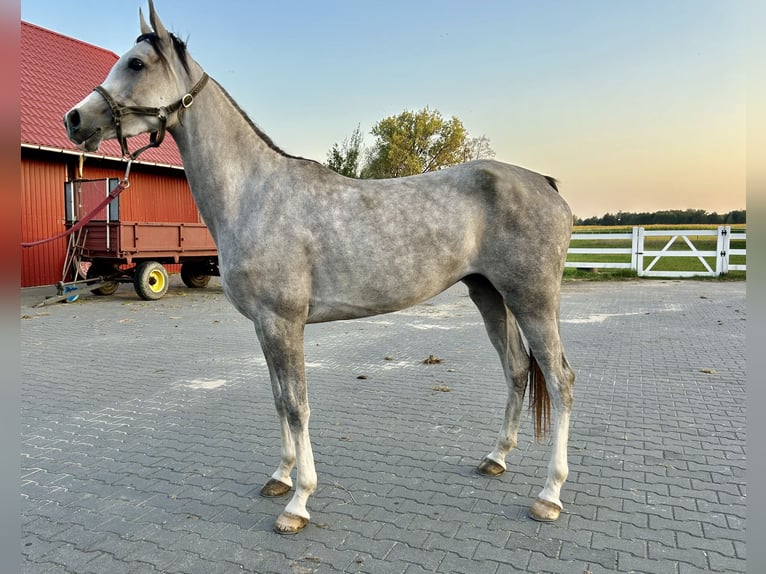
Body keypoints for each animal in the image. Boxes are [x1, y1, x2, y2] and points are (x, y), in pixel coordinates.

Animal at [66, 0, 576, 536]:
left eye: (136, 64)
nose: (74, 119)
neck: (253, 194)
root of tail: (545, 184)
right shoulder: (265, 326)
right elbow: (278, 400)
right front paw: (280, 476)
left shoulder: (283, 322)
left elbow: (297, 405)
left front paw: (299, 501)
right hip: (489, 295)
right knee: (517, 369)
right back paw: (496, 458)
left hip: (533, 301)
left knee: (560, 380)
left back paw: (549, 494)